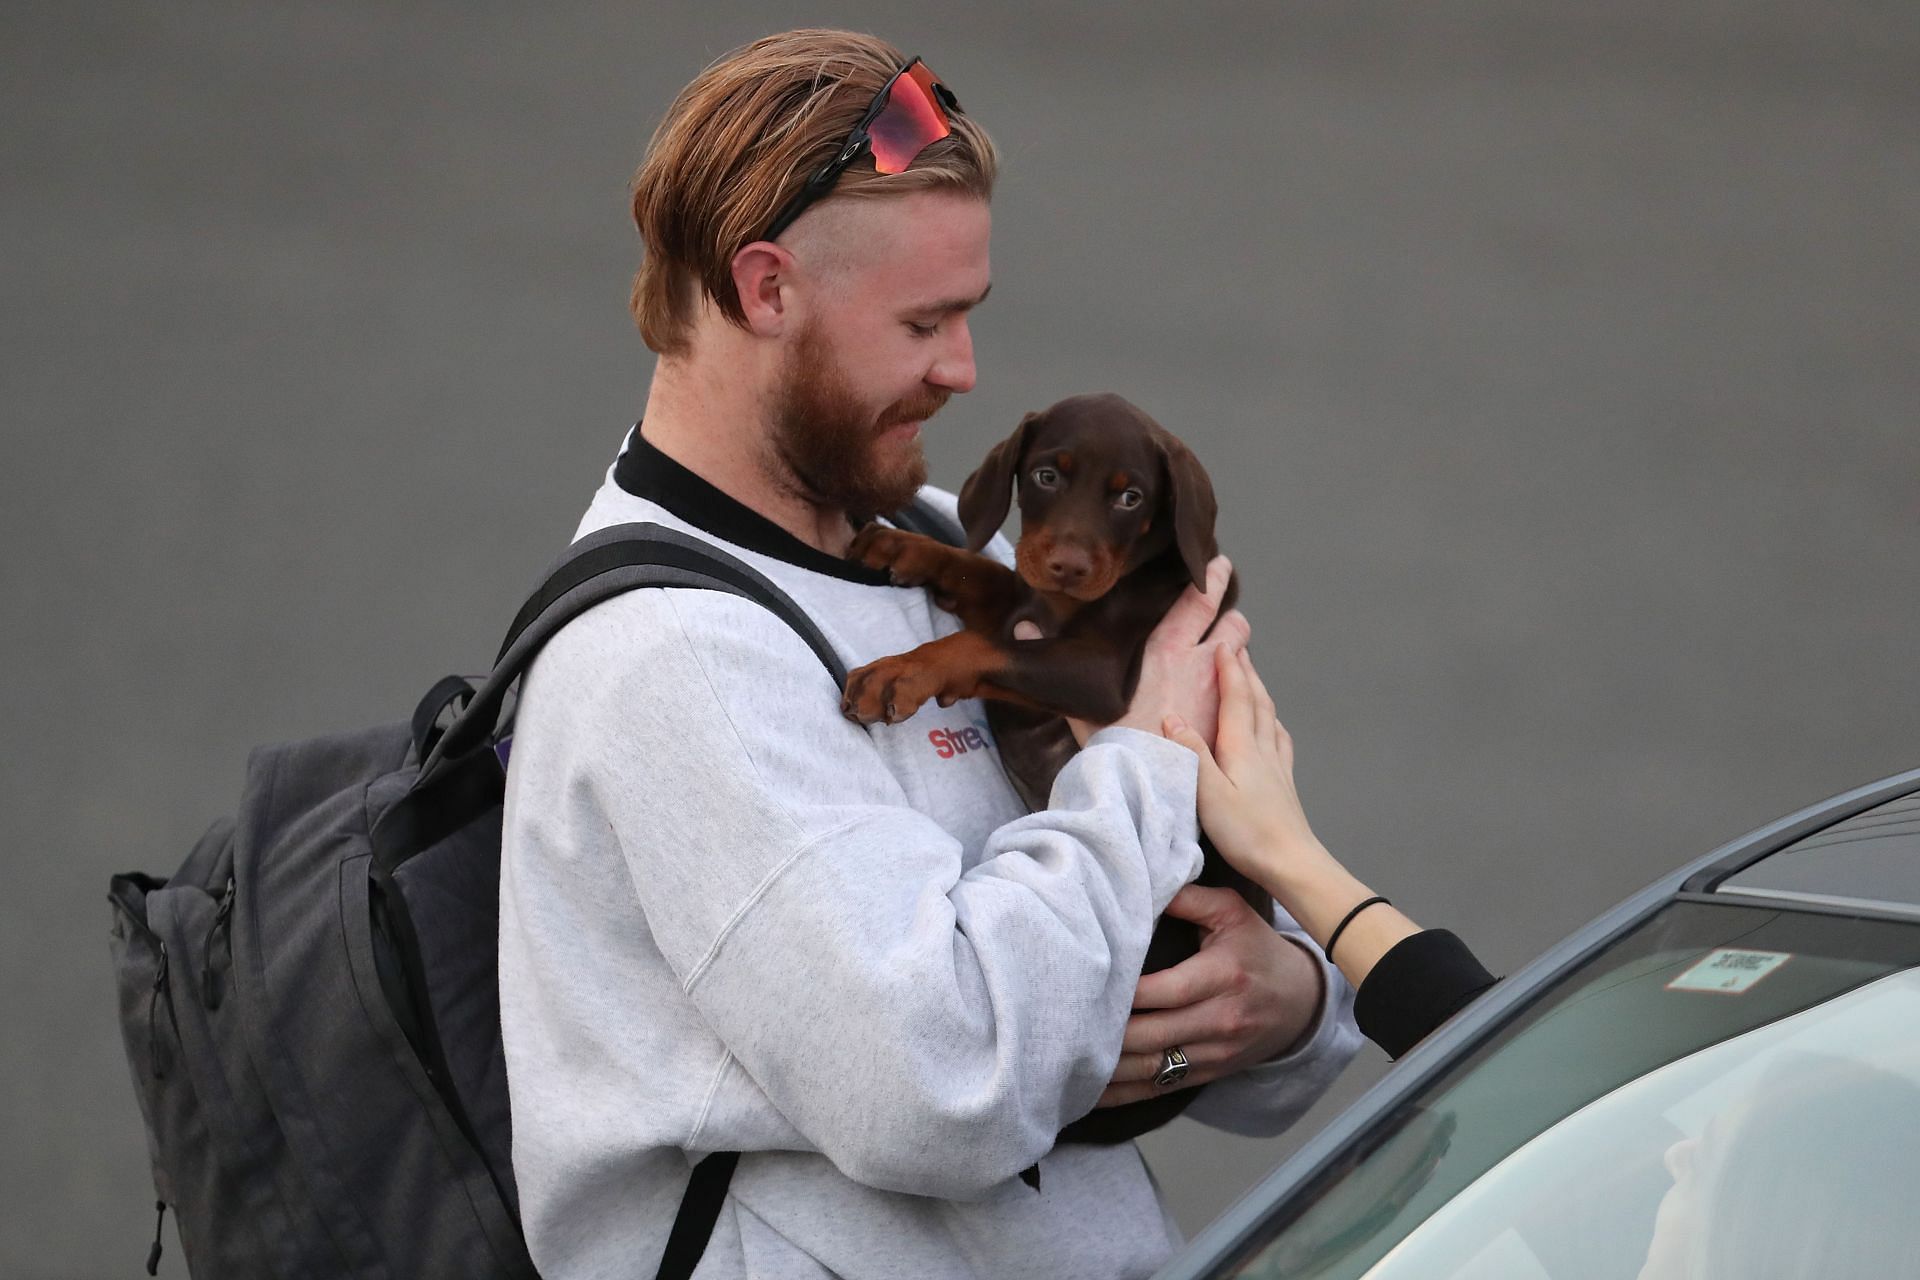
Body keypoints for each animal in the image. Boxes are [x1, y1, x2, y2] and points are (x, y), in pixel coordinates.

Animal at [844, 393, 1267, 1151]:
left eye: (1131, 497)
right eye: (1045, 476)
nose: (1068, 565)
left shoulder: (1096, 674)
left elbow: (973, 644)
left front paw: (900, 672)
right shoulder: (1026, 601)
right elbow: (987, 574)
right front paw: (908, 548)